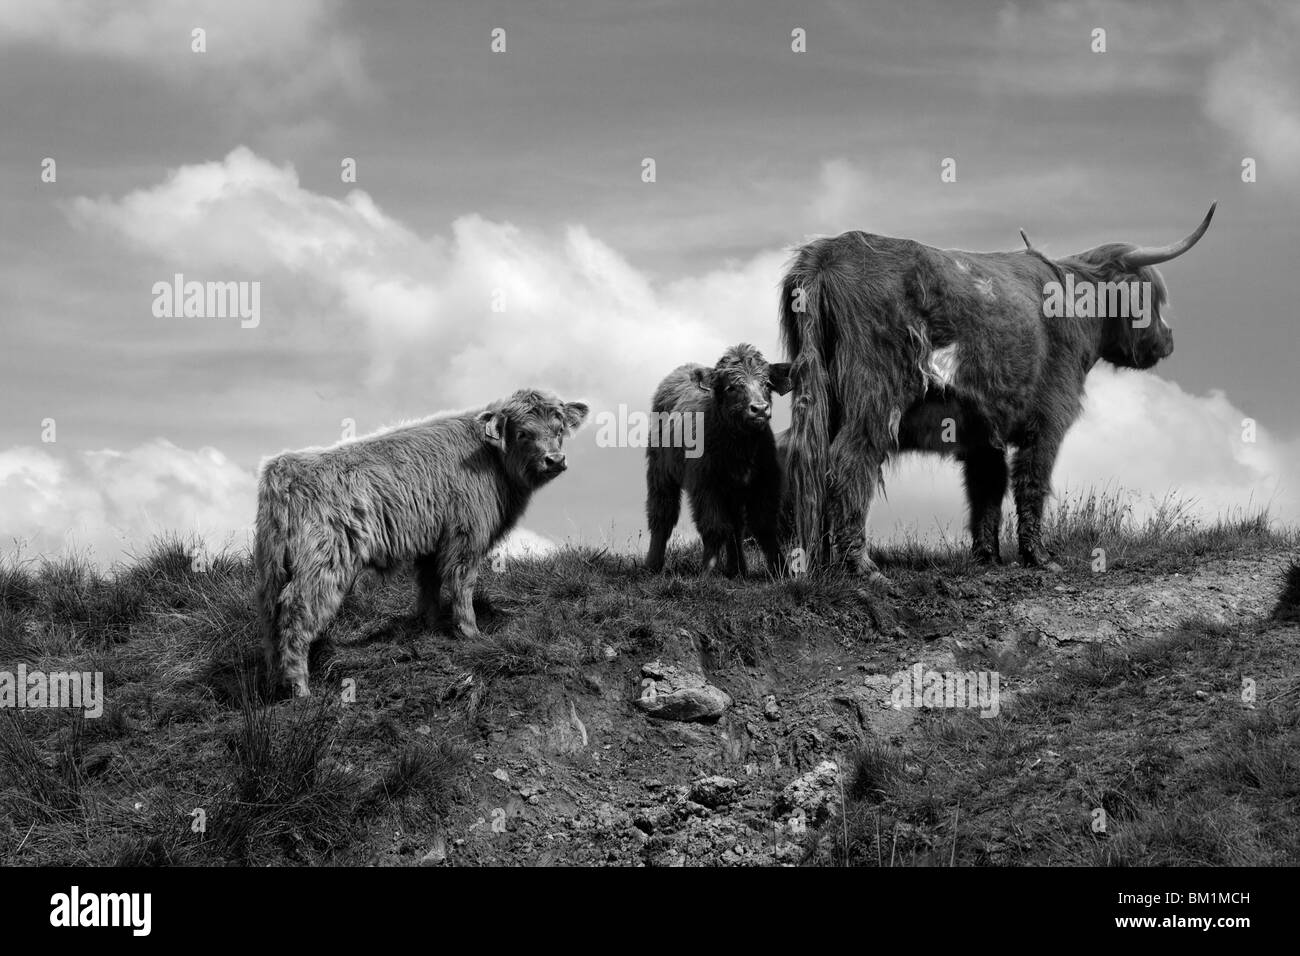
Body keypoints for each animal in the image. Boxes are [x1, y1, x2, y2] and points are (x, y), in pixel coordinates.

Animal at [254, 389, 589, 696]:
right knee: (297, 613)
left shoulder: (433, 542)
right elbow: (462, 582)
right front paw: (470, 631)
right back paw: (299, 688)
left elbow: (429, 583)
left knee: (270, 619)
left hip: (273, 569)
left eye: (559, 429)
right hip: (322, 564)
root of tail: (285, 467)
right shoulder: (466, 535)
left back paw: (274, 684)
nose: (554, 460)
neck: (492, 460)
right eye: (523, 433)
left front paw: (432, 625)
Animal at [644, 343, 792, 576]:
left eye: (767, 384)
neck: (741, 448)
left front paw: (782, 570)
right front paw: (708, 571)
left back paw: (737, 569)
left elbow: (764, 527)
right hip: (660, 472)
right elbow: (713, 527)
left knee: (736, 525)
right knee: (662, 514)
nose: (759, 408)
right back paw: (653, 564)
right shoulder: (705, 485)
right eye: (731, 387)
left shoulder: (766, 482)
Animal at [779, 204, 1216, 575]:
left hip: (820, 395)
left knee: (814, 461)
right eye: (1150, 296)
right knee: (850, 460)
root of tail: (828, 251)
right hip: (874, 397)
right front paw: (1040, 558)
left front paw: (987, 557)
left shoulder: (980, 432)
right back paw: (862, 567)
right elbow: (1031, 481)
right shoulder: (1048, 417)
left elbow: (986, 490)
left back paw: (823, 564)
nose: (1167, 340)